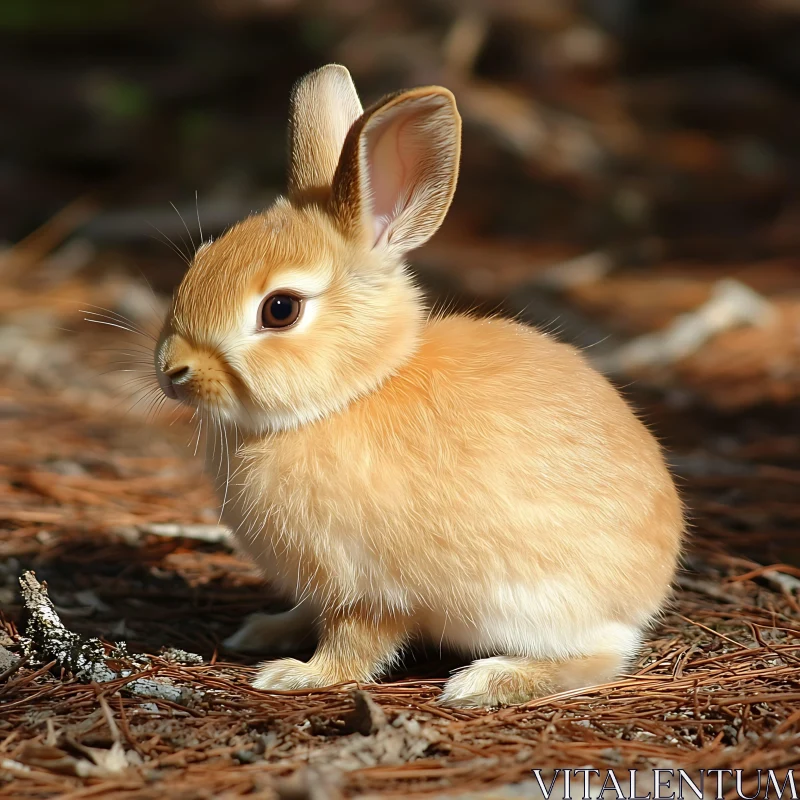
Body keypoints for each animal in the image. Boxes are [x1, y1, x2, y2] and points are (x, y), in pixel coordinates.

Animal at [155, 64, 680, 708]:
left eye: (280, 309)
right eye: (202, 258)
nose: (172, 370)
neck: (352, 393)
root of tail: (653, 583)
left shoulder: (370, 588)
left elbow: (355, 645)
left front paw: (294, 675)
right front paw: (264, 632)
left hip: (533, 602)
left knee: (605, 652)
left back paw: (486, 681)